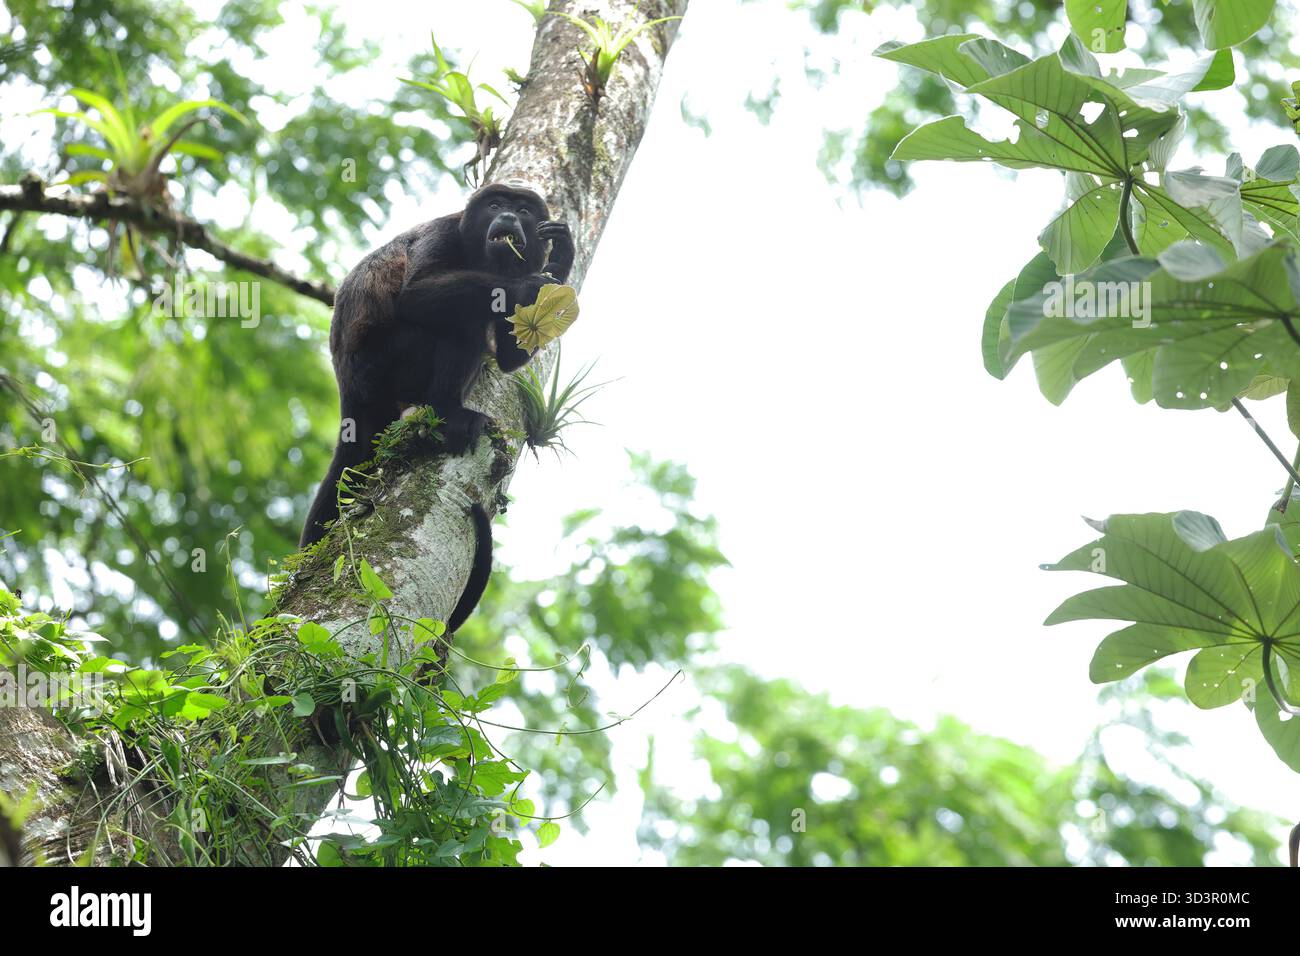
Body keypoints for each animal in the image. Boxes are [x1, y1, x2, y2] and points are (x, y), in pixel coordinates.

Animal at [300, 182, 574, 635]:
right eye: (495, 206)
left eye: (522, 211)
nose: (508, 217)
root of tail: (348, 386)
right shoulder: (444, 233)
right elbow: (416, 293)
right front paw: (527, 287)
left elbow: (513, 355)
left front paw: (563, 256)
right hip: (382, 362)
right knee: (460, 325)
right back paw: (451, 413)